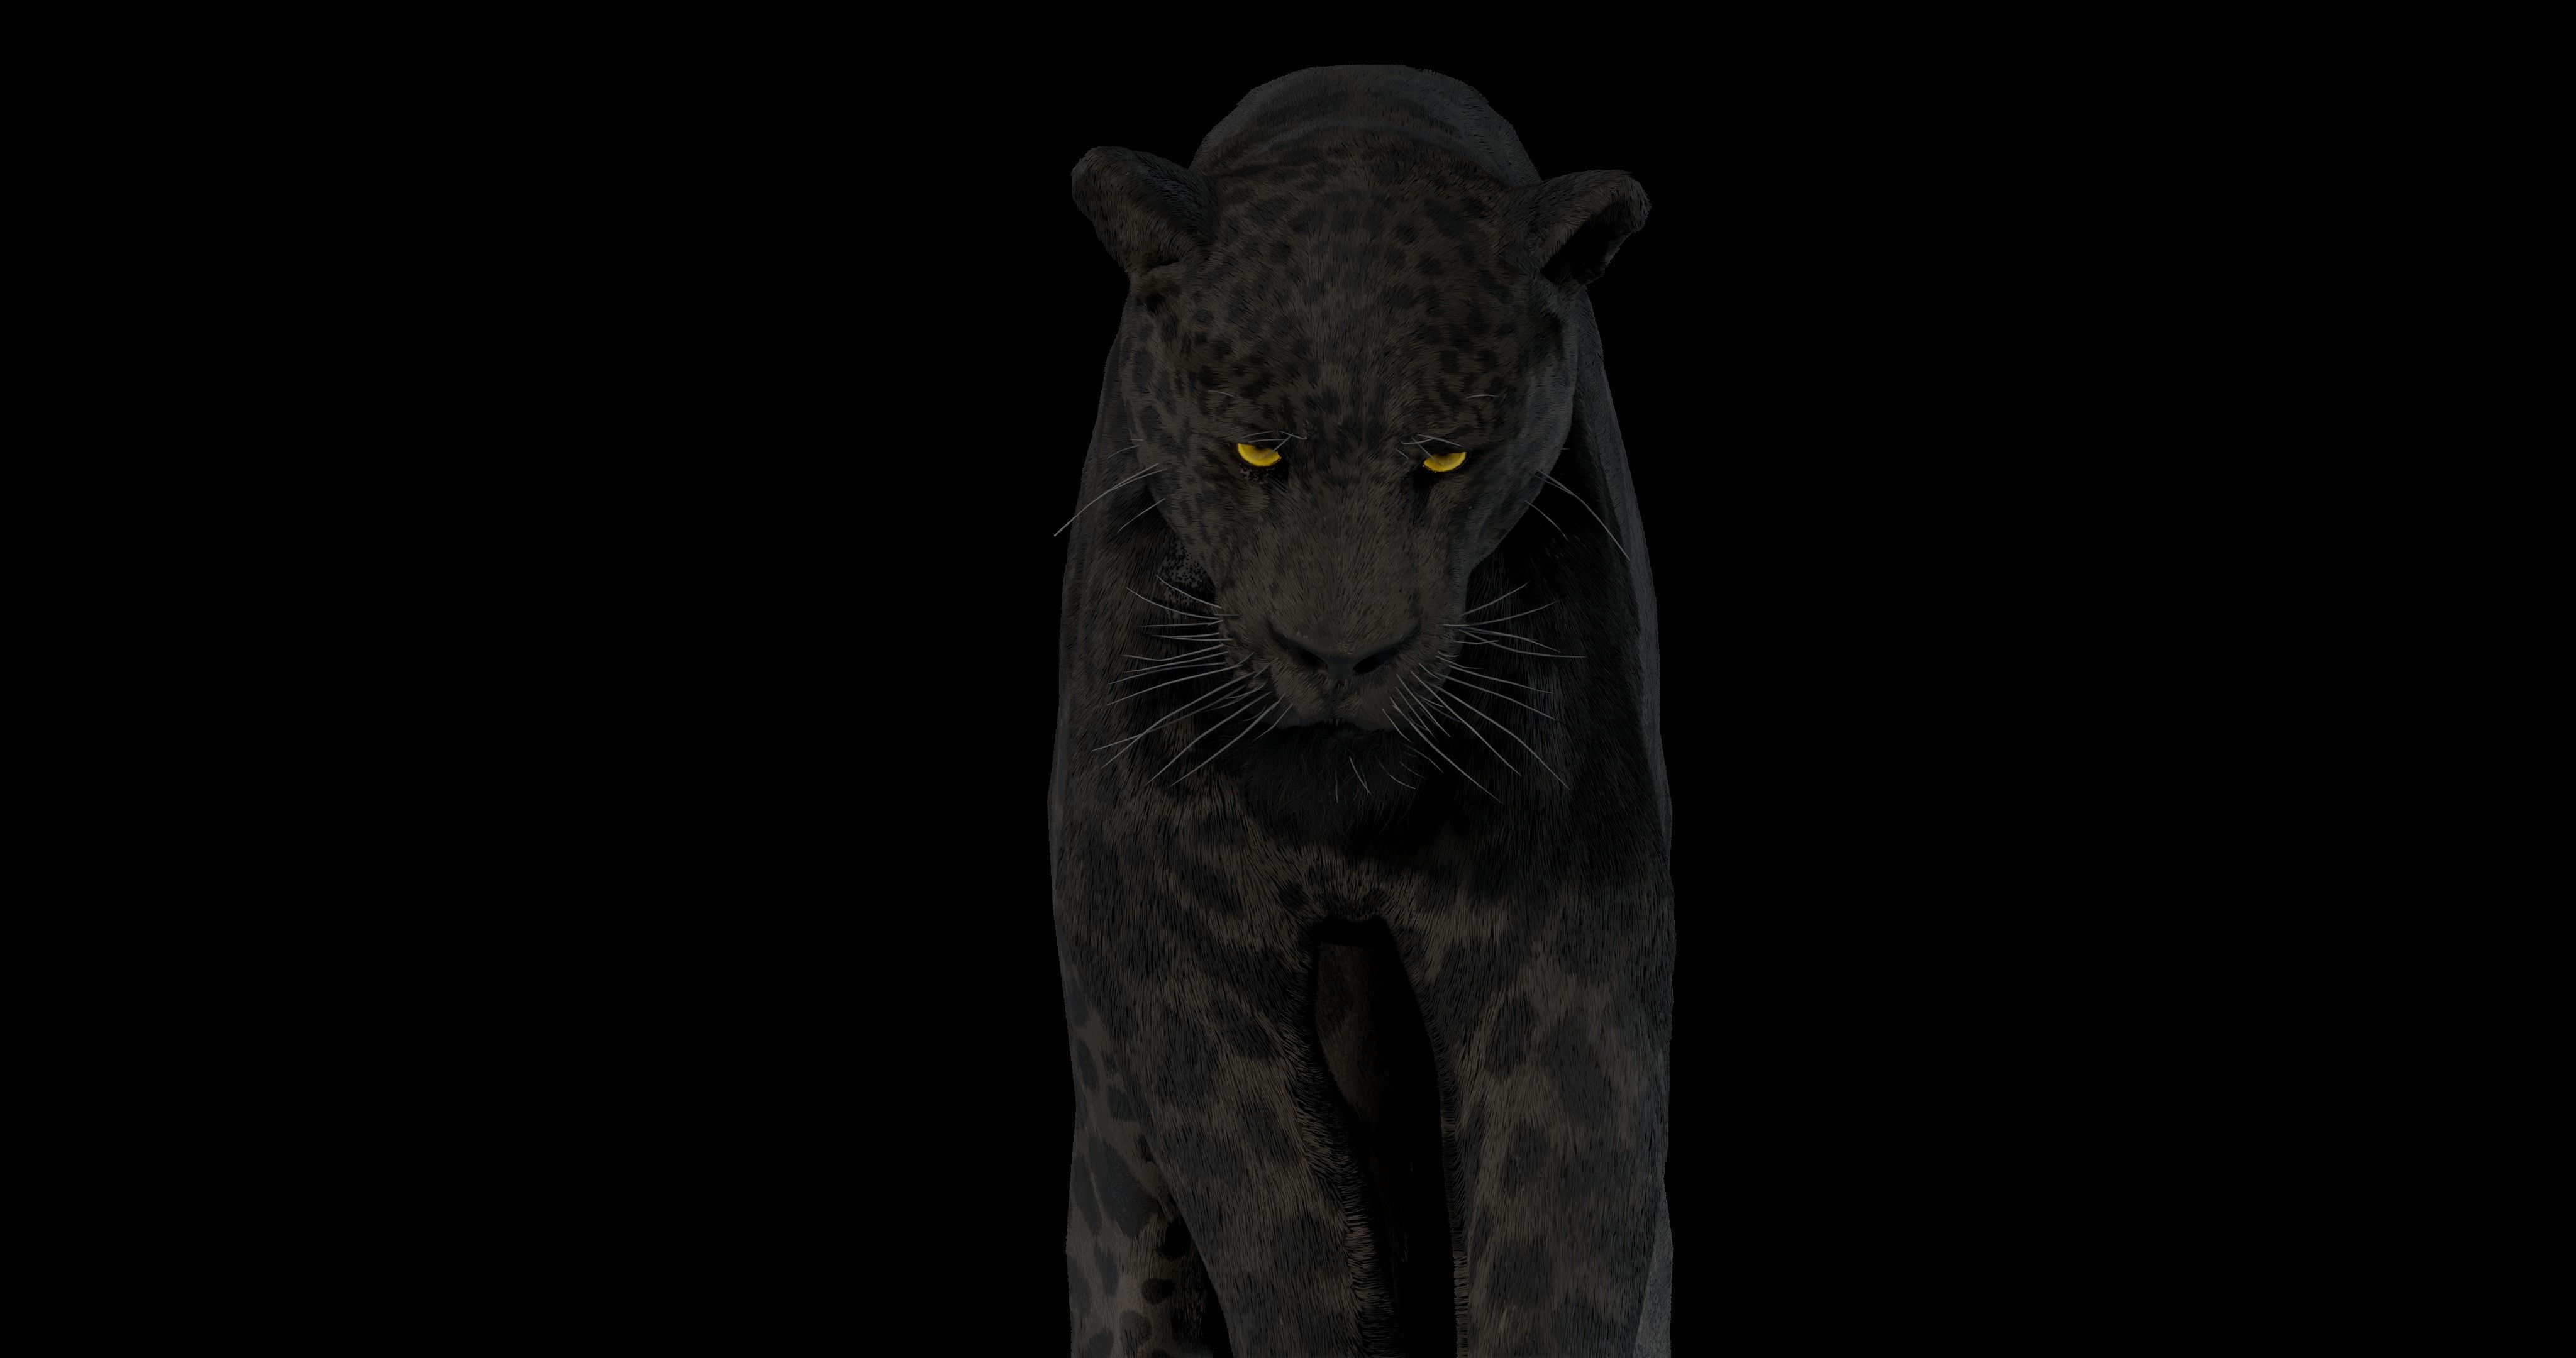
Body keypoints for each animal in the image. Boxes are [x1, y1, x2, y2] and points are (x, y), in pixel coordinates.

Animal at [1050, 64, 1672, 1357]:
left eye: (1445, 459)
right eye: (1254, 450)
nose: (1341, 655)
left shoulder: (1561, 956)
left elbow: (1561, 1234)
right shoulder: (1191, 955)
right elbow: (1289, 1236)